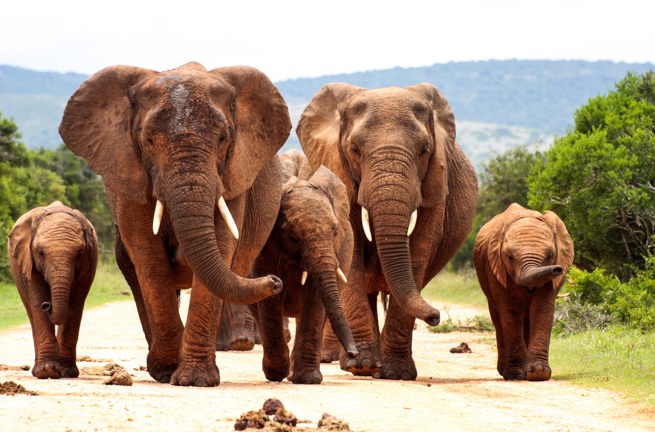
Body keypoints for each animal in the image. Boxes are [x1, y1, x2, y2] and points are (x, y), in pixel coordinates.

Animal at [7, 201, 98, 379]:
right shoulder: (29, 260)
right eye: (40, 253)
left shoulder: (88, 262)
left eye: (80, 254)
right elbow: (37, 300)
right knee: (31, 311)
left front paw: (67, 372)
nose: (47, 305)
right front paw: (47, 371)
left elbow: (76, 305)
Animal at [59, 62, 291, 386]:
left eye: (223, 138)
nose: (276, 281)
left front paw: (195, 380)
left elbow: (221, 247)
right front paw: (169, 371)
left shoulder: (232, 177)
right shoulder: (130, 176)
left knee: (240, 275)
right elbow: (149, 259)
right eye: (148, 140)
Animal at [250, 149, 358, 384]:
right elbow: (270, 299)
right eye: (293, 237)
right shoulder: (264, 247)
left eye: (335, 232)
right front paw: (276, 374)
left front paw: (307, 379)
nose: (354, 353)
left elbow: (315, 298)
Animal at [296, 83, 478, 380]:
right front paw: (363, 367)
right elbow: (353, 252)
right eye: (354, 150)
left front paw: (397, 373)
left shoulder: (435, 185)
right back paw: (353, 363)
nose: (436, 317)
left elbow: (418, 252)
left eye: (424, 151)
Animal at [473, 203, 574, 381]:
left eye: (550, 255)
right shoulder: (496, 268)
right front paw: (516, 375)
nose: (557, 269)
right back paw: (505, 372)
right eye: (510, 257)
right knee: (499, 320)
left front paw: (538, 373)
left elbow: (542, 309)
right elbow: (511, 312)